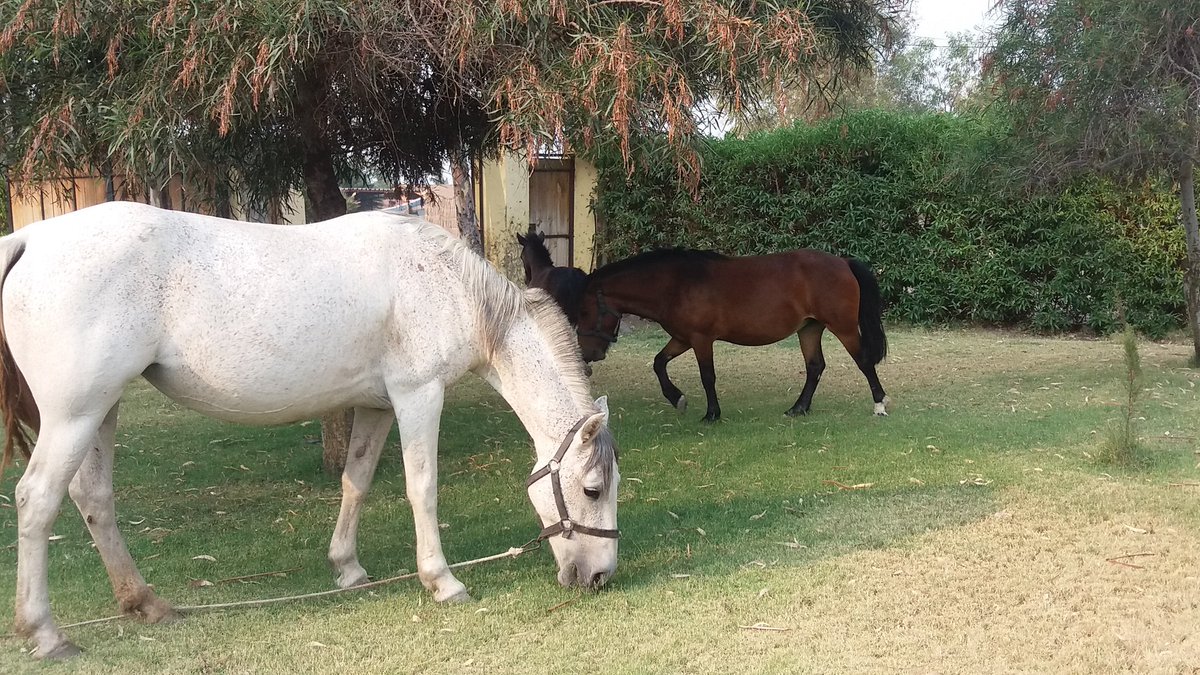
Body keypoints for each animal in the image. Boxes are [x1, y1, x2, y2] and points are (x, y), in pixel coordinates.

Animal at [0, 202, 619, 659]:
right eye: (591, 490)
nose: (600, 578)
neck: (445, 286)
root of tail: (30, 238)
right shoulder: (418, 396)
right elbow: (422, 488)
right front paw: (442, 581)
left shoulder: (375, 406)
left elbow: (356, 482)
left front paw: (348, 569)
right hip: (75, 415)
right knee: (37, 500)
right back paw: (47, 634)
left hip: (101, 412)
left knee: (93, 498)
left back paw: (145, 603)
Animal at [575, 248, 888, 422]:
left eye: (585, 311)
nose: (587, 354)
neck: (676, 284)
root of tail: (842, 262)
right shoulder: (682, 338)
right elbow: (658, 363)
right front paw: (677, 398)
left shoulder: (701, 339)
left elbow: (707, 376)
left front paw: (712, 413)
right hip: (809, 329)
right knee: (815, 367)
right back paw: (798, 408)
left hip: (843, 327)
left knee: (863, 361)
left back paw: (879, 405)